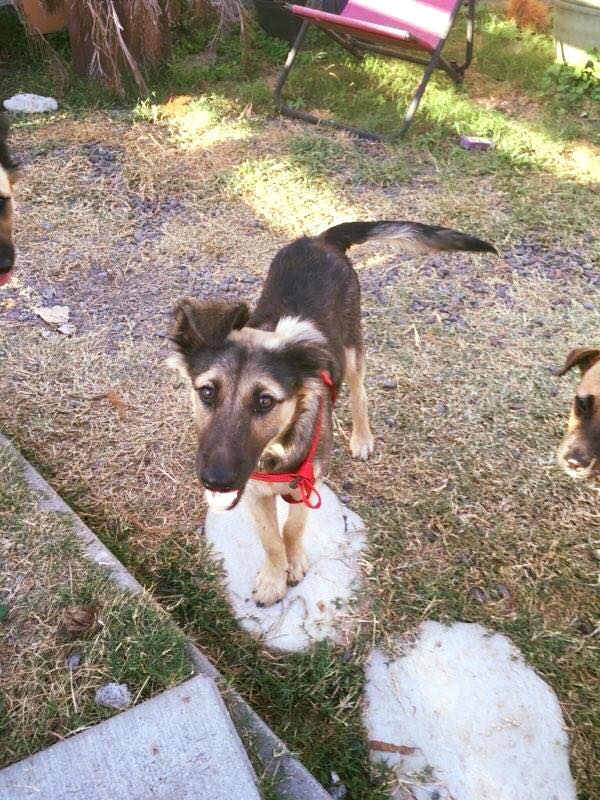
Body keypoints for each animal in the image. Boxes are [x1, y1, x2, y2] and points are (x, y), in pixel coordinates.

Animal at [170, 220, 496, 608]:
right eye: (207, 392)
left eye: (264, 401)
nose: (216, 481)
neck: (277, 448)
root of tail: (321, 240)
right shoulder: (254, 492)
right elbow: (270, 538)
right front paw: (274, 577)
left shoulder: (309, 482)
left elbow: (292, 528)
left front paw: (293, 562)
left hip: (352, 346)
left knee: (359, 392)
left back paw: (362, 437)